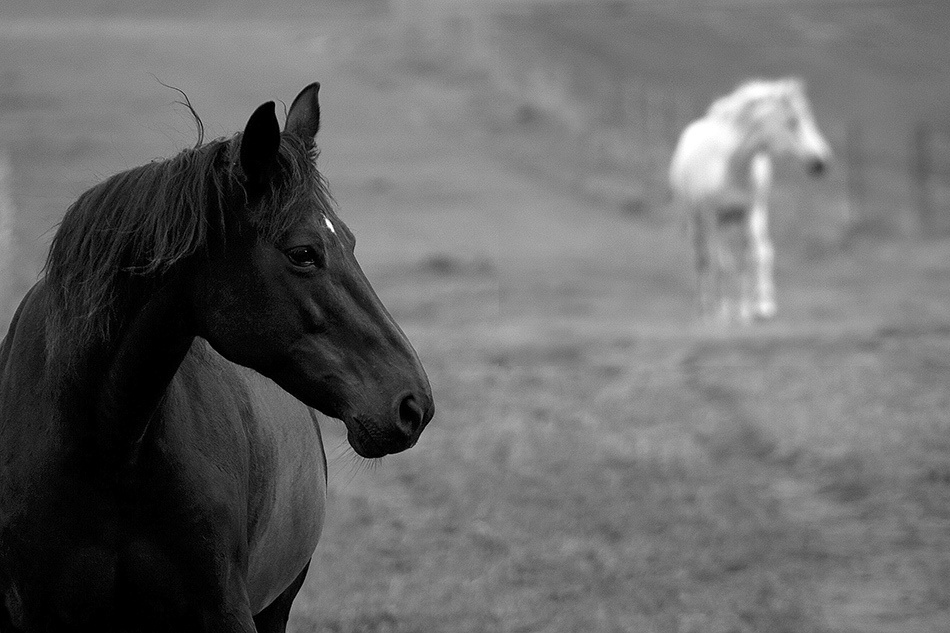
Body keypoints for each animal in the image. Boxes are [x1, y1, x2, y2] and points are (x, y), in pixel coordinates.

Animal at [668, 77, 832, 324]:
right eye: (792, 121)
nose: (821, 162)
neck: (730, 166)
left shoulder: (750, 213)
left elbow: (754, 257)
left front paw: (752, 310)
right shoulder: (711, 217)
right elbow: (721, 264)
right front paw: (722, 313)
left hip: (739, 221)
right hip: (698, 222)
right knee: (703, 259)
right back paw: (706, 307)